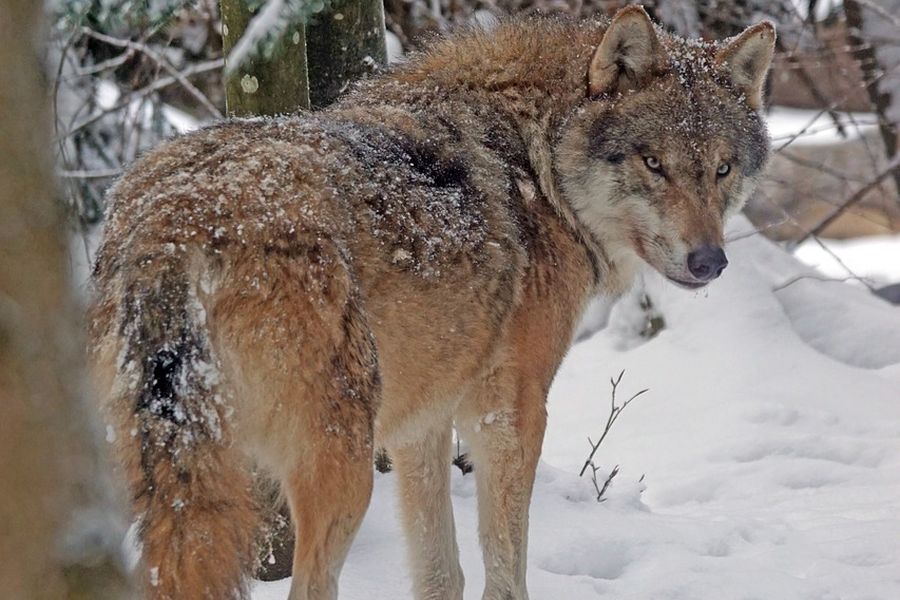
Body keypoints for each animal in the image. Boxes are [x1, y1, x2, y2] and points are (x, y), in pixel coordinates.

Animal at [91, 8, 776, 600]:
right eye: (653, 163)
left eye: (721, 169)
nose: (709, 262)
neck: (540, 166)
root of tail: (172, 223)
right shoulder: (509, 415)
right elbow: (504, 569)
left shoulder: (421, 426)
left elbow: (441, 572)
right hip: (340, 474)